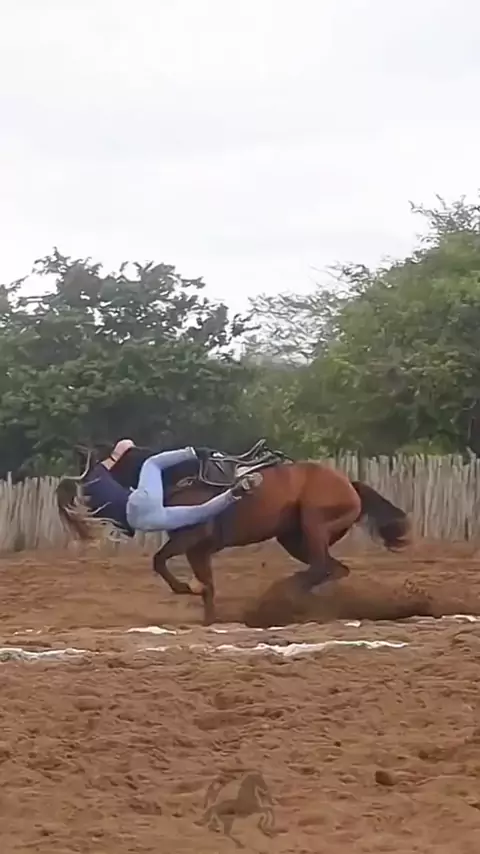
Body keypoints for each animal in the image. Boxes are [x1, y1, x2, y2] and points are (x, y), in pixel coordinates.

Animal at [56, 440, 411, 624]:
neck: (180, 479)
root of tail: (349, 484)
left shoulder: (190, 539)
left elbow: (159, 561)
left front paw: (187, 588)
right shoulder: (198, 550)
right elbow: (208, 589)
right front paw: (206, 613)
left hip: (313, 525)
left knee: (323, 567)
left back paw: (279, 597)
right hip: (294, 538)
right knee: (332, 568)